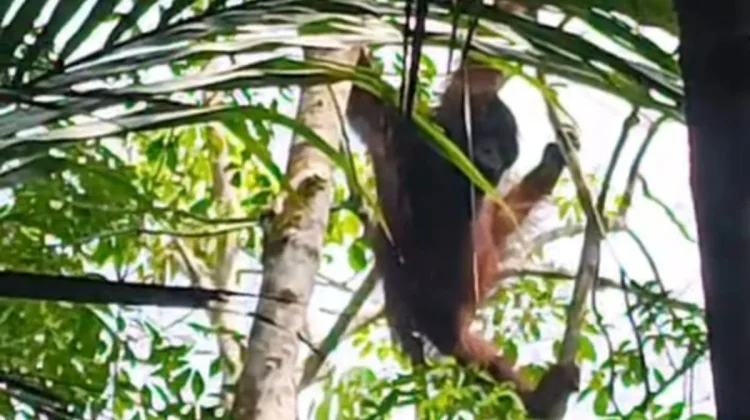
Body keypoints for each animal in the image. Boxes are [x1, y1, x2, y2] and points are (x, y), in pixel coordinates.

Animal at [346, 51, 579, 418]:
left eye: (502, 147)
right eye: (487, 140)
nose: (494, 160)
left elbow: (476, 70)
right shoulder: (412, 137)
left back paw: (547, 170)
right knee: (451, 335)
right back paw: (540, 400)